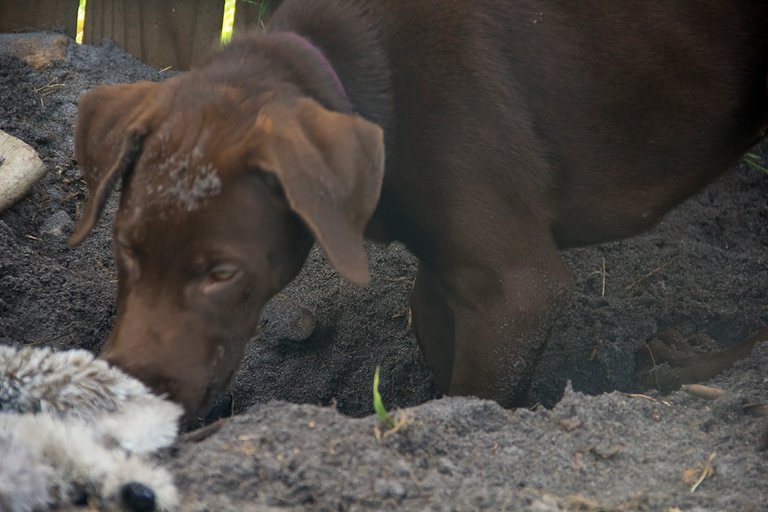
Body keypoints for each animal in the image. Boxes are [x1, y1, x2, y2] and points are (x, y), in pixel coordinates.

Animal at [69, 0, 764, 416]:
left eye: (222, 274)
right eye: (124, 248)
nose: (128, 395)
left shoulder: (519, 288)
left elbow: (479, 392)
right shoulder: (449, 271)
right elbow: (438, 346)